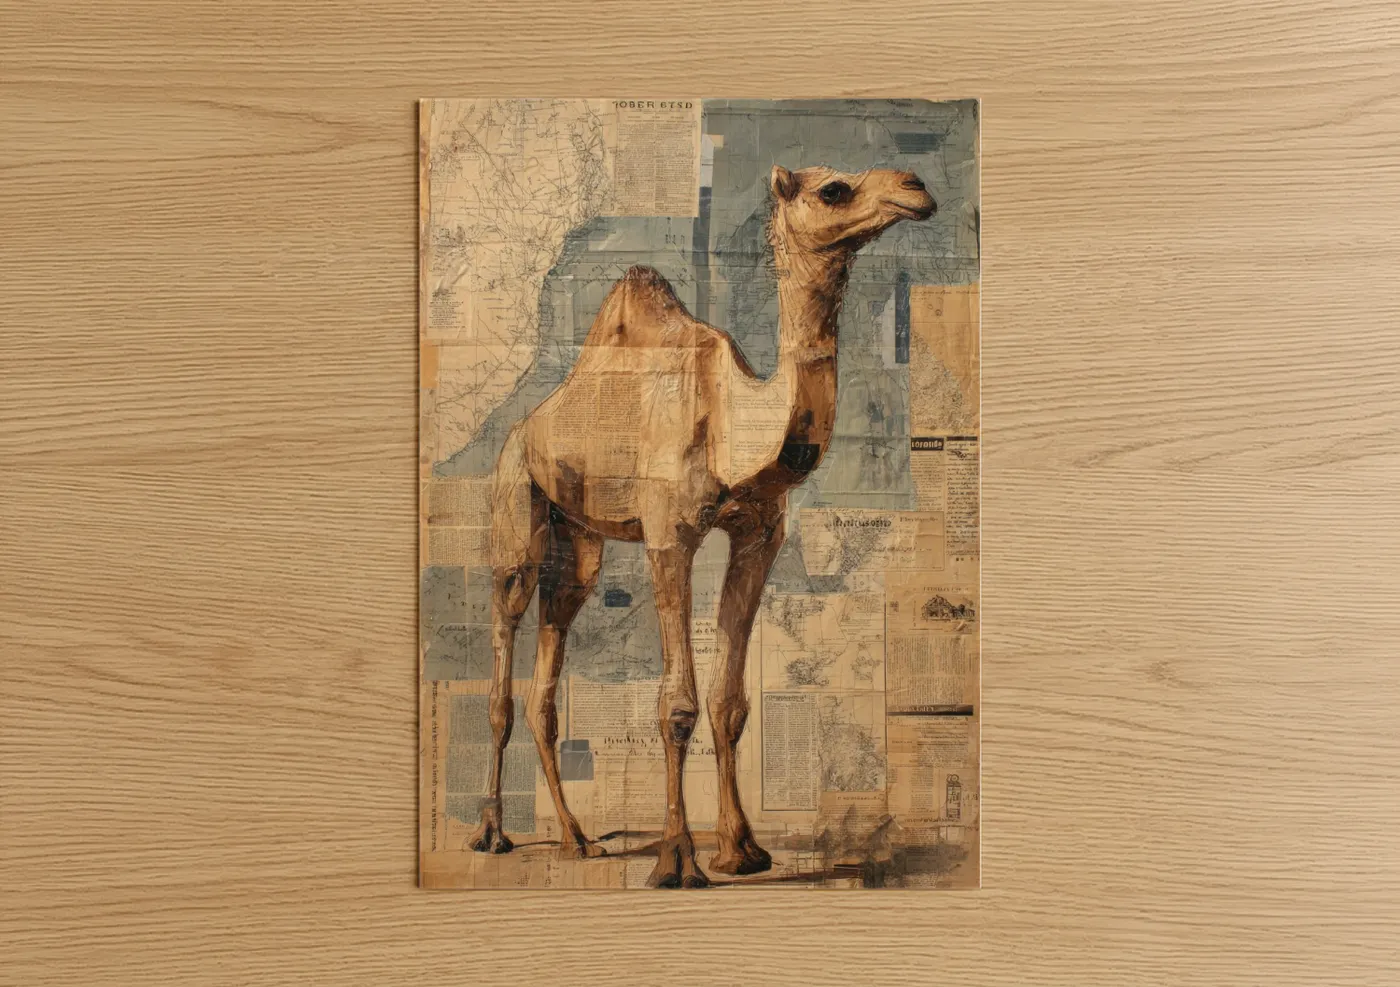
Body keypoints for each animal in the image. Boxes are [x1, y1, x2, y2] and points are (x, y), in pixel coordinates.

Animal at [468, 163, 935, 887]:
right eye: (833, 189)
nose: (915, 187)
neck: (731, 422)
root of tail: (527, 423)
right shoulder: (669, 534)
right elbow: (677, 703)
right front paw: (678, 858)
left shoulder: (760, 533)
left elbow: (730, 701)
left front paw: (742, 850)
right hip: (515, 493)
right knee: (505, 631)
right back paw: (493, 834)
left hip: (579, 542)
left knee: (555, 639)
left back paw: (578, 838)